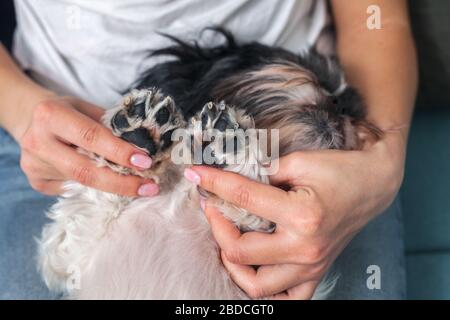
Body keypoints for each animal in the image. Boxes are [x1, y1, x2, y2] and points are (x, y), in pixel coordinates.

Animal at [37, 28, 380, 300]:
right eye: (316, 73)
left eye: (355, 114)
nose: (340, 106)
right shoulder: (72, 257)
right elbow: (90, 206)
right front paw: (138, 139)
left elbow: (258, 214)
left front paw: (231, 151)